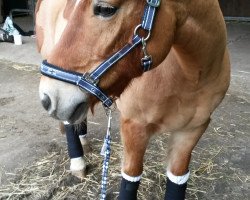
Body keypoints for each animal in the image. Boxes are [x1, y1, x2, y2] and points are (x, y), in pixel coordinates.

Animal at [35, 0, 230, 199]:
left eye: (105, 9)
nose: (47, 98)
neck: (191, 77)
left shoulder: (192, 130)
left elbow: (177, 178)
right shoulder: (134, 126)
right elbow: (131, 177)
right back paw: (78, 163)